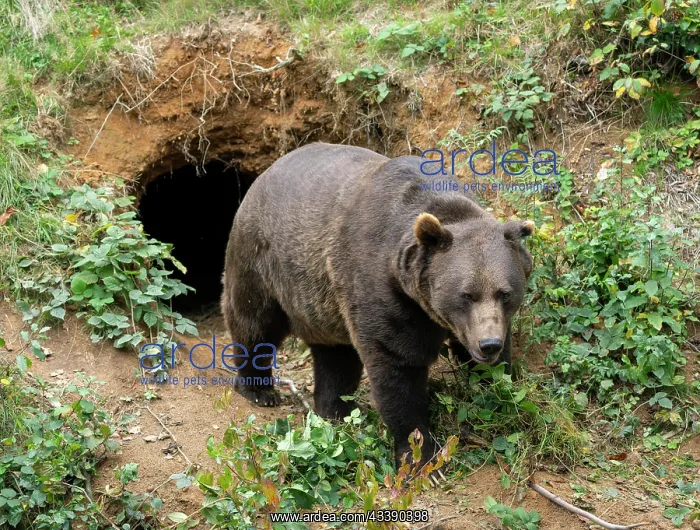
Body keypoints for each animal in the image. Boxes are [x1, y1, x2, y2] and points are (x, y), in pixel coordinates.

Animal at [220, 142, 534, 469]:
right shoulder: (383, 290)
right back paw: (259, 389)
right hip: (261, 261)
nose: (488, 344)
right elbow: (397, 367)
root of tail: (265, 173)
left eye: (504, 293)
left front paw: (497, 390)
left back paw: (333, 410)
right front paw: (420, 453)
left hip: (322, 301)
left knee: (335, 355)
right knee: (254, 322)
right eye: (466, 294)